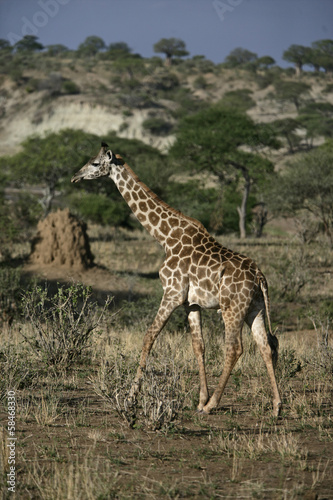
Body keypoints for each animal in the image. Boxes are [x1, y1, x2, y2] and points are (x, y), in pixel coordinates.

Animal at [71, 143, 282, 416]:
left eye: (95, 163)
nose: (76, 176)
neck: (165, 237)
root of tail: (260, 277)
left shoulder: (171, 293)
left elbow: (149, 336)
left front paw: (131, 398)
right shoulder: (191, 303)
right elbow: (198, 346)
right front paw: (200, 399)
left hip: (232, 308)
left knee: (235, 348)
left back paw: (213, 405)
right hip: (254, 308)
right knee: (266, 345)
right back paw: (276, 406)